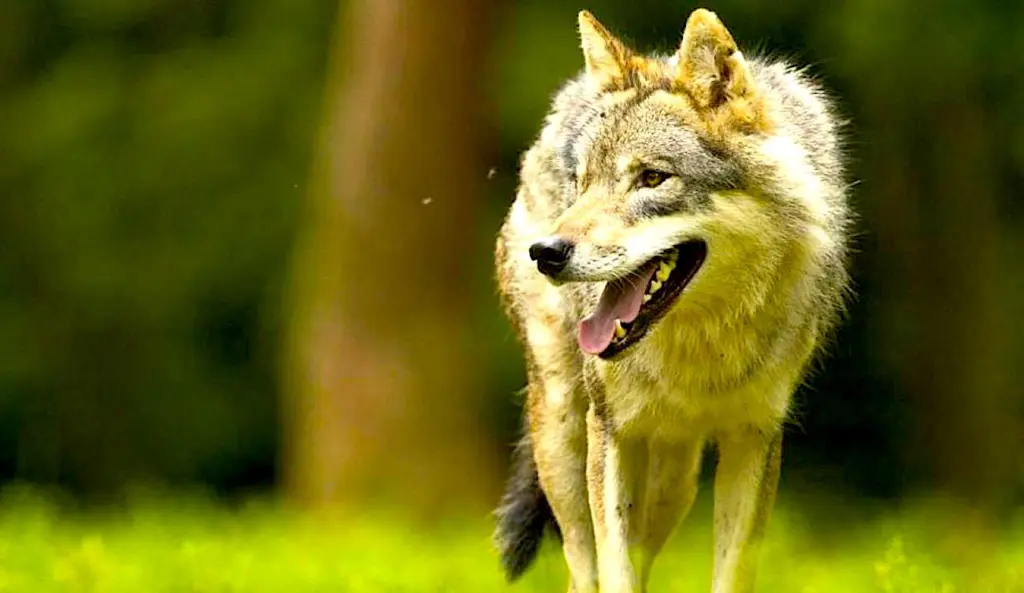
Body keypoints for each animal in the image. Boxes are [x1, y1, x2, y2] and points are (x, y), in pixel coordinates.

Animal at [492, 7, 851, 593]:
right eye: (582, 182)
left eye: (652, 177)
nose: (546, 253)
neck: (704, 345)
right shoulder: (610, 431)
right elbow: (612, 570)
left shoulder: (755, 437)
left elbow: (730, 573)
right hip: (564, 434)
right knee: (582, 564)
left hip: (672, 479)